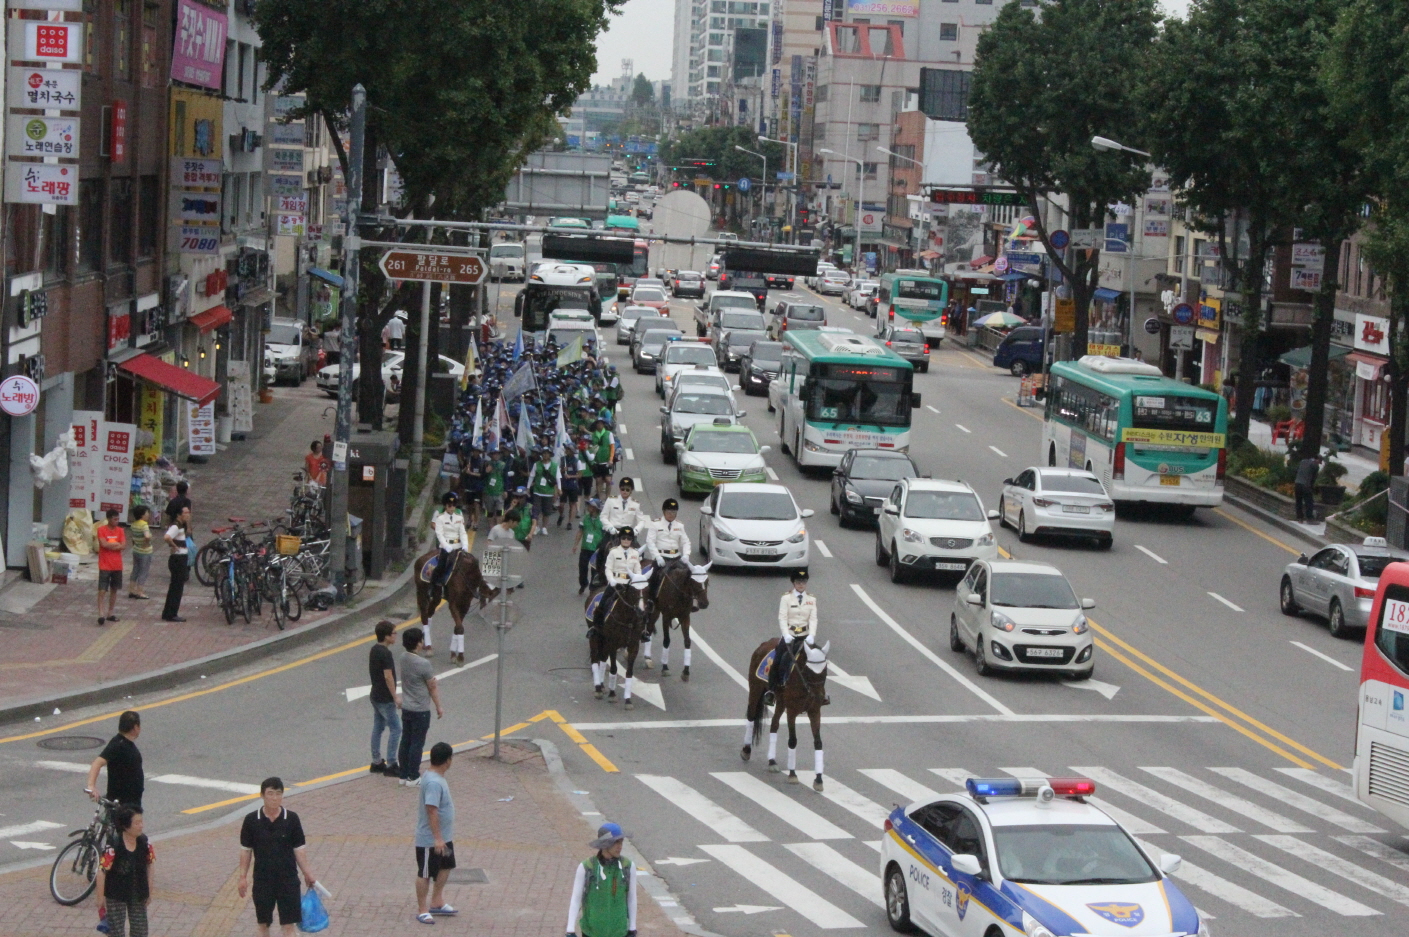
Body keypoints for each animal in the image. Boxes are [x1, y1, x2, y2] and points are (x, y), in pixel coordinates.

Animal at [580, 569, 650, 710]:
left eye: (646, 590)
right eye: (633, 591)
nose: (641, 611)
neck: (628, 620)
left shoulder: (633, 646)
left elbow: (629, 672)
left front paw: (628, 700)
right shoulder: (613, 644)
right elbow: (613, 669)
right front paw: (612, 694)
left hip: (604, 640)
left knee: (602, 659)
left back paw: (601, 685)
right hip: (595, 637)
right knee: (595, 659)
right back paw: (598, 688)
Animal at [738, 636, 822, 789]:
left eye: (825, 670)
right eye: (810, 670)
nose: (820, 696)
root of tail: (765, 643)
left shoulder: (814, 711)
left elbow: (818, 742)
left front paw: (819, 780)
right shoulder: (792, 711)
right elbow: (792, 741)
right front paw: (792, 774)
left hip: (781, 702)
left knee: (774, 724)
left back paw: (772, 761)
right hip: (755, 688)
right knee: (751, 717)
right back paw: (746, 750)